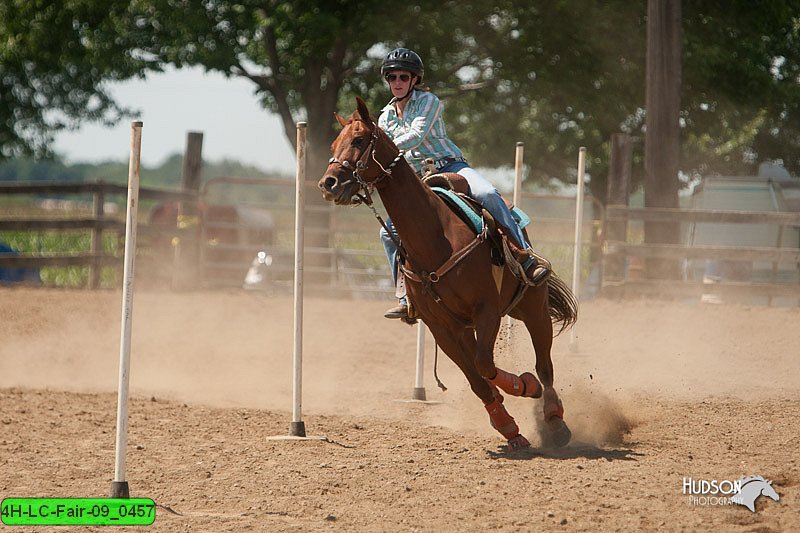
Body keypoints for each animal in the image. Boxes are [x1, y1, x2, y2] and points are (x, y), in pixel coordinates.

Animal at [318, 96, 576, 448]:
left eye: (358, 140)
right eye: (334, 143)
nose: (328, 184)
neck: (435, 236)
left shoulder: (487, 309)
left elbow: (486, 365)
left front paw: (526, 386)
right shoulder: (441, 327)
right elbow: (477, 378)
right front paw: (508, 427)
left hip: (532, 306)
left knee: (545, 365)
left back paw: (554, 418)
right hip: (469, 326)